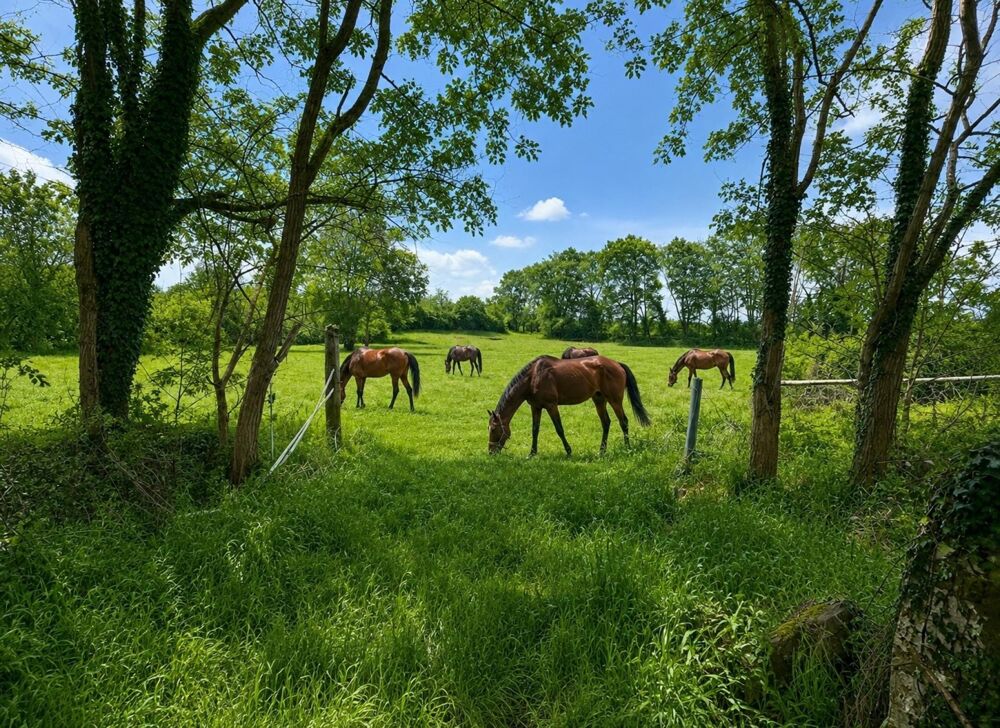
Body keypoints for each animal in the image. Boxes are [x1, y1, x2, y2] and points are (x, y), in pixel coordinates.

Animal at [488, 355, 651, 456]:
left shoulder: (551, 406)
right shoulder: (536, 407)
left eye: (494, 429)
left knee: (624, 422)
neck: (533, 377)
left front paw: (568, 451)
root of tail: (617, 364)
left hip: (615, 400)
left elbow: (559, 429)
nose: (490, 452)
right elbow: (535, 430)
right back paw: (601, 451)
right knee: (606, 423)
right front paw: (532, 453)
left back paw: (627, 448)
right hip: (599, 400)